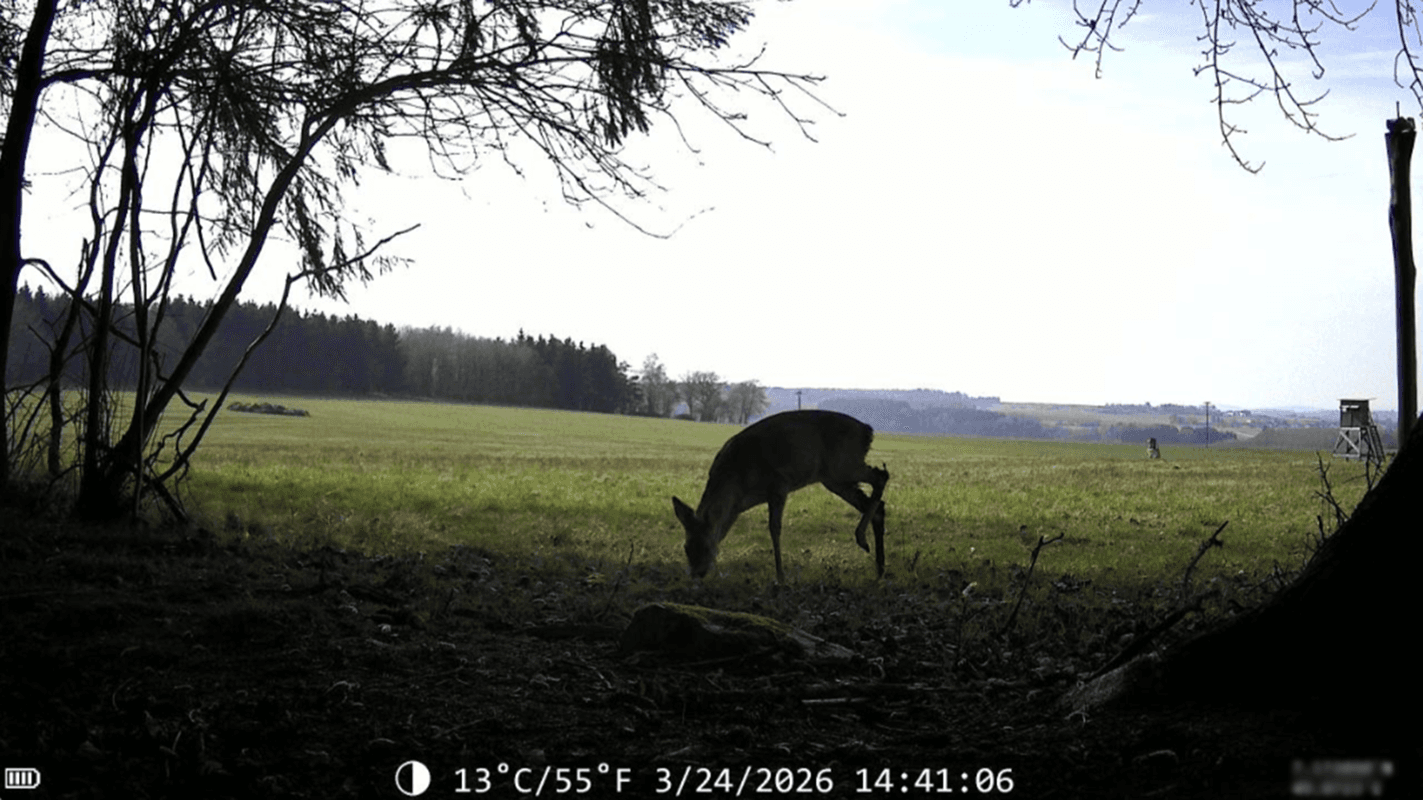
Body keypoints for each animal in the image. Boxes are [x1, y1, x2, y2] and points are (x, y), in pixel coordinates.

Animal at [672, 410, 890, 582]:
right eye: (686, 547)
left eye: (706, 546)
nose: (697, 573)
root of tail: (868, 432)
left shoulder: (779, 484)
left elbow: (774, 528)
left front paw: (780, 577)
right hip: (834, 478)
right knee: (878, 505)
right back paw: (879, 569)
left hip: (844, 465)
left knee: (881, 475)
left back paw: (862, 539)